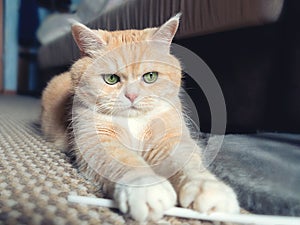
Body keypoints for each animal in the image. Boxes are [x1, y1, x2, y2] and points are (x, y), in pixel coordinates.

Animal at [41, 14, 240, 221]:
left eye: (150, 76)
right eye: (111, 79)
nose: (132, 96)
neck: (134, 122)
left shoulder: (169, 140)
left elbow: (187, 165)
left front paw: (208, 189)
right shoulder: (97, 141)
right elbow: (127, 162)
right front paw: (147, 188)